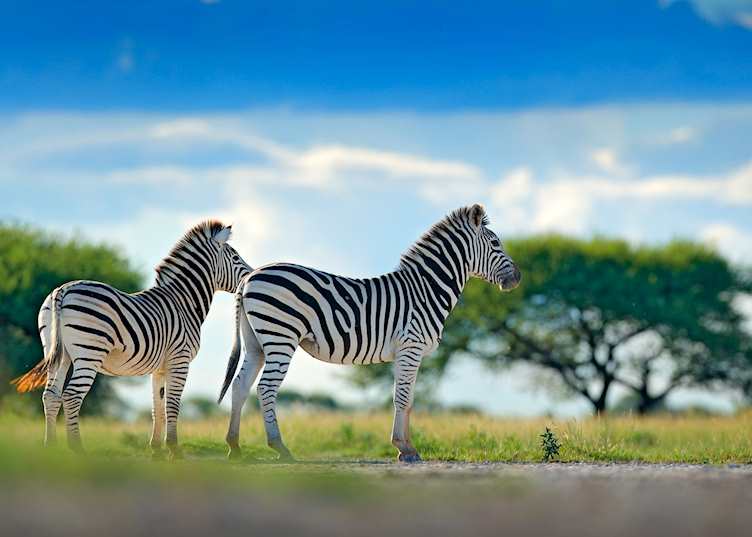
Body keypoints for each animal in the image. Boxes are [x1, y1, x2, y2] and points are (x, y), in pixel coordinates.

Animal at [12, 220, 251, 458]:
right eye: (235, 257)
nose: (251, 275)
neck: (183, 302)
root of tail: (63, 290)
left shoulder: (160, 367)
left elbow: (158, 408)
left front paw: (156, 449)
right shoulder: (179, 360)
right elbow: (172, 406)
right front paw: (174, 450)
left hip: (59, 354)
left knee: (51, 396)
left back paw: (50, 448)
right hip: (89, 353)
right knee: (71, 396)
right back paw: (77, 449)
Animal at [218, 204, 521, 462]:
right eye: (495, 243)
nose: (518, 278)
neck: (425, 290)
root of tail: (250, 276)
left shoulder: (405, 352)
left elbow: (407, 399)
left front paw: (405, 447)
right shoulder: (411, 346)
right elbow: (403, 398)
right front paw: (405, 449)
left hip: (256, 342)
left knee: (241, 385)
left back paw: (234, 447)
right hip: (280, 336)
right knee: (266, 388)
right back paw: (280, 447)